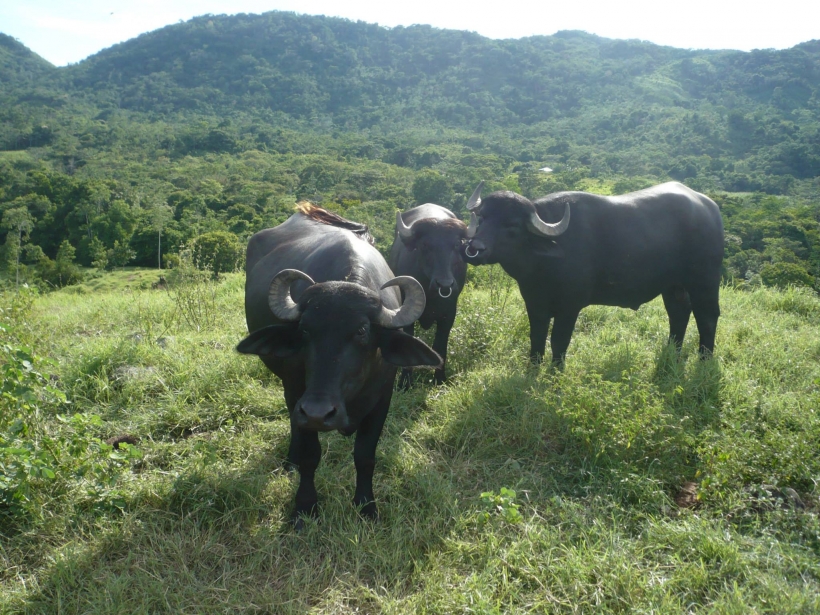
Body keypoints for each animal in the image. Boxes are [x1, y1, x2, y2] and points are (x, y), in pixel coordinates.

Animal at [237, 205, 442, 524]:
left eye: (362, 331)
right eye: (305, 330)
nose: (319, 412)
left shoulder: (383, 399)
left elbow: (365, 455)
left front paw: (366, 506)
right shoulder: (298, 393)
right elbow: (310, 454)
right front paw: (304, 506)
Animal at [390, 185, 484, 384]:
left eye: (456, 245)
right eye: (425, 245)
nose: (445, 283)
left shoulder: (449, 315)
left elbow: (441, 346)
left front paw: (439, 379)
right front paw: (405, 382)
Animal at [464, 183, 720, 366]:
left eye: (512, 226)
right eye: (483, 218)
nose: (474, 248)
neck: (542, 266)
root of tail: (709, 206)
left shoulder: (570, 307)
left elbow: (559, 341)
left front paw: (555, 372)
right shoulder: (535, 304)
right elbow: (536, 338)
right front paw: (532, 369)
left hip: (705, 282)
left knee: (707, 316)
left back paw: (704, 360)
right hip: (673, 286)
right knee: (679, 313)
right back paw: (672, 353)